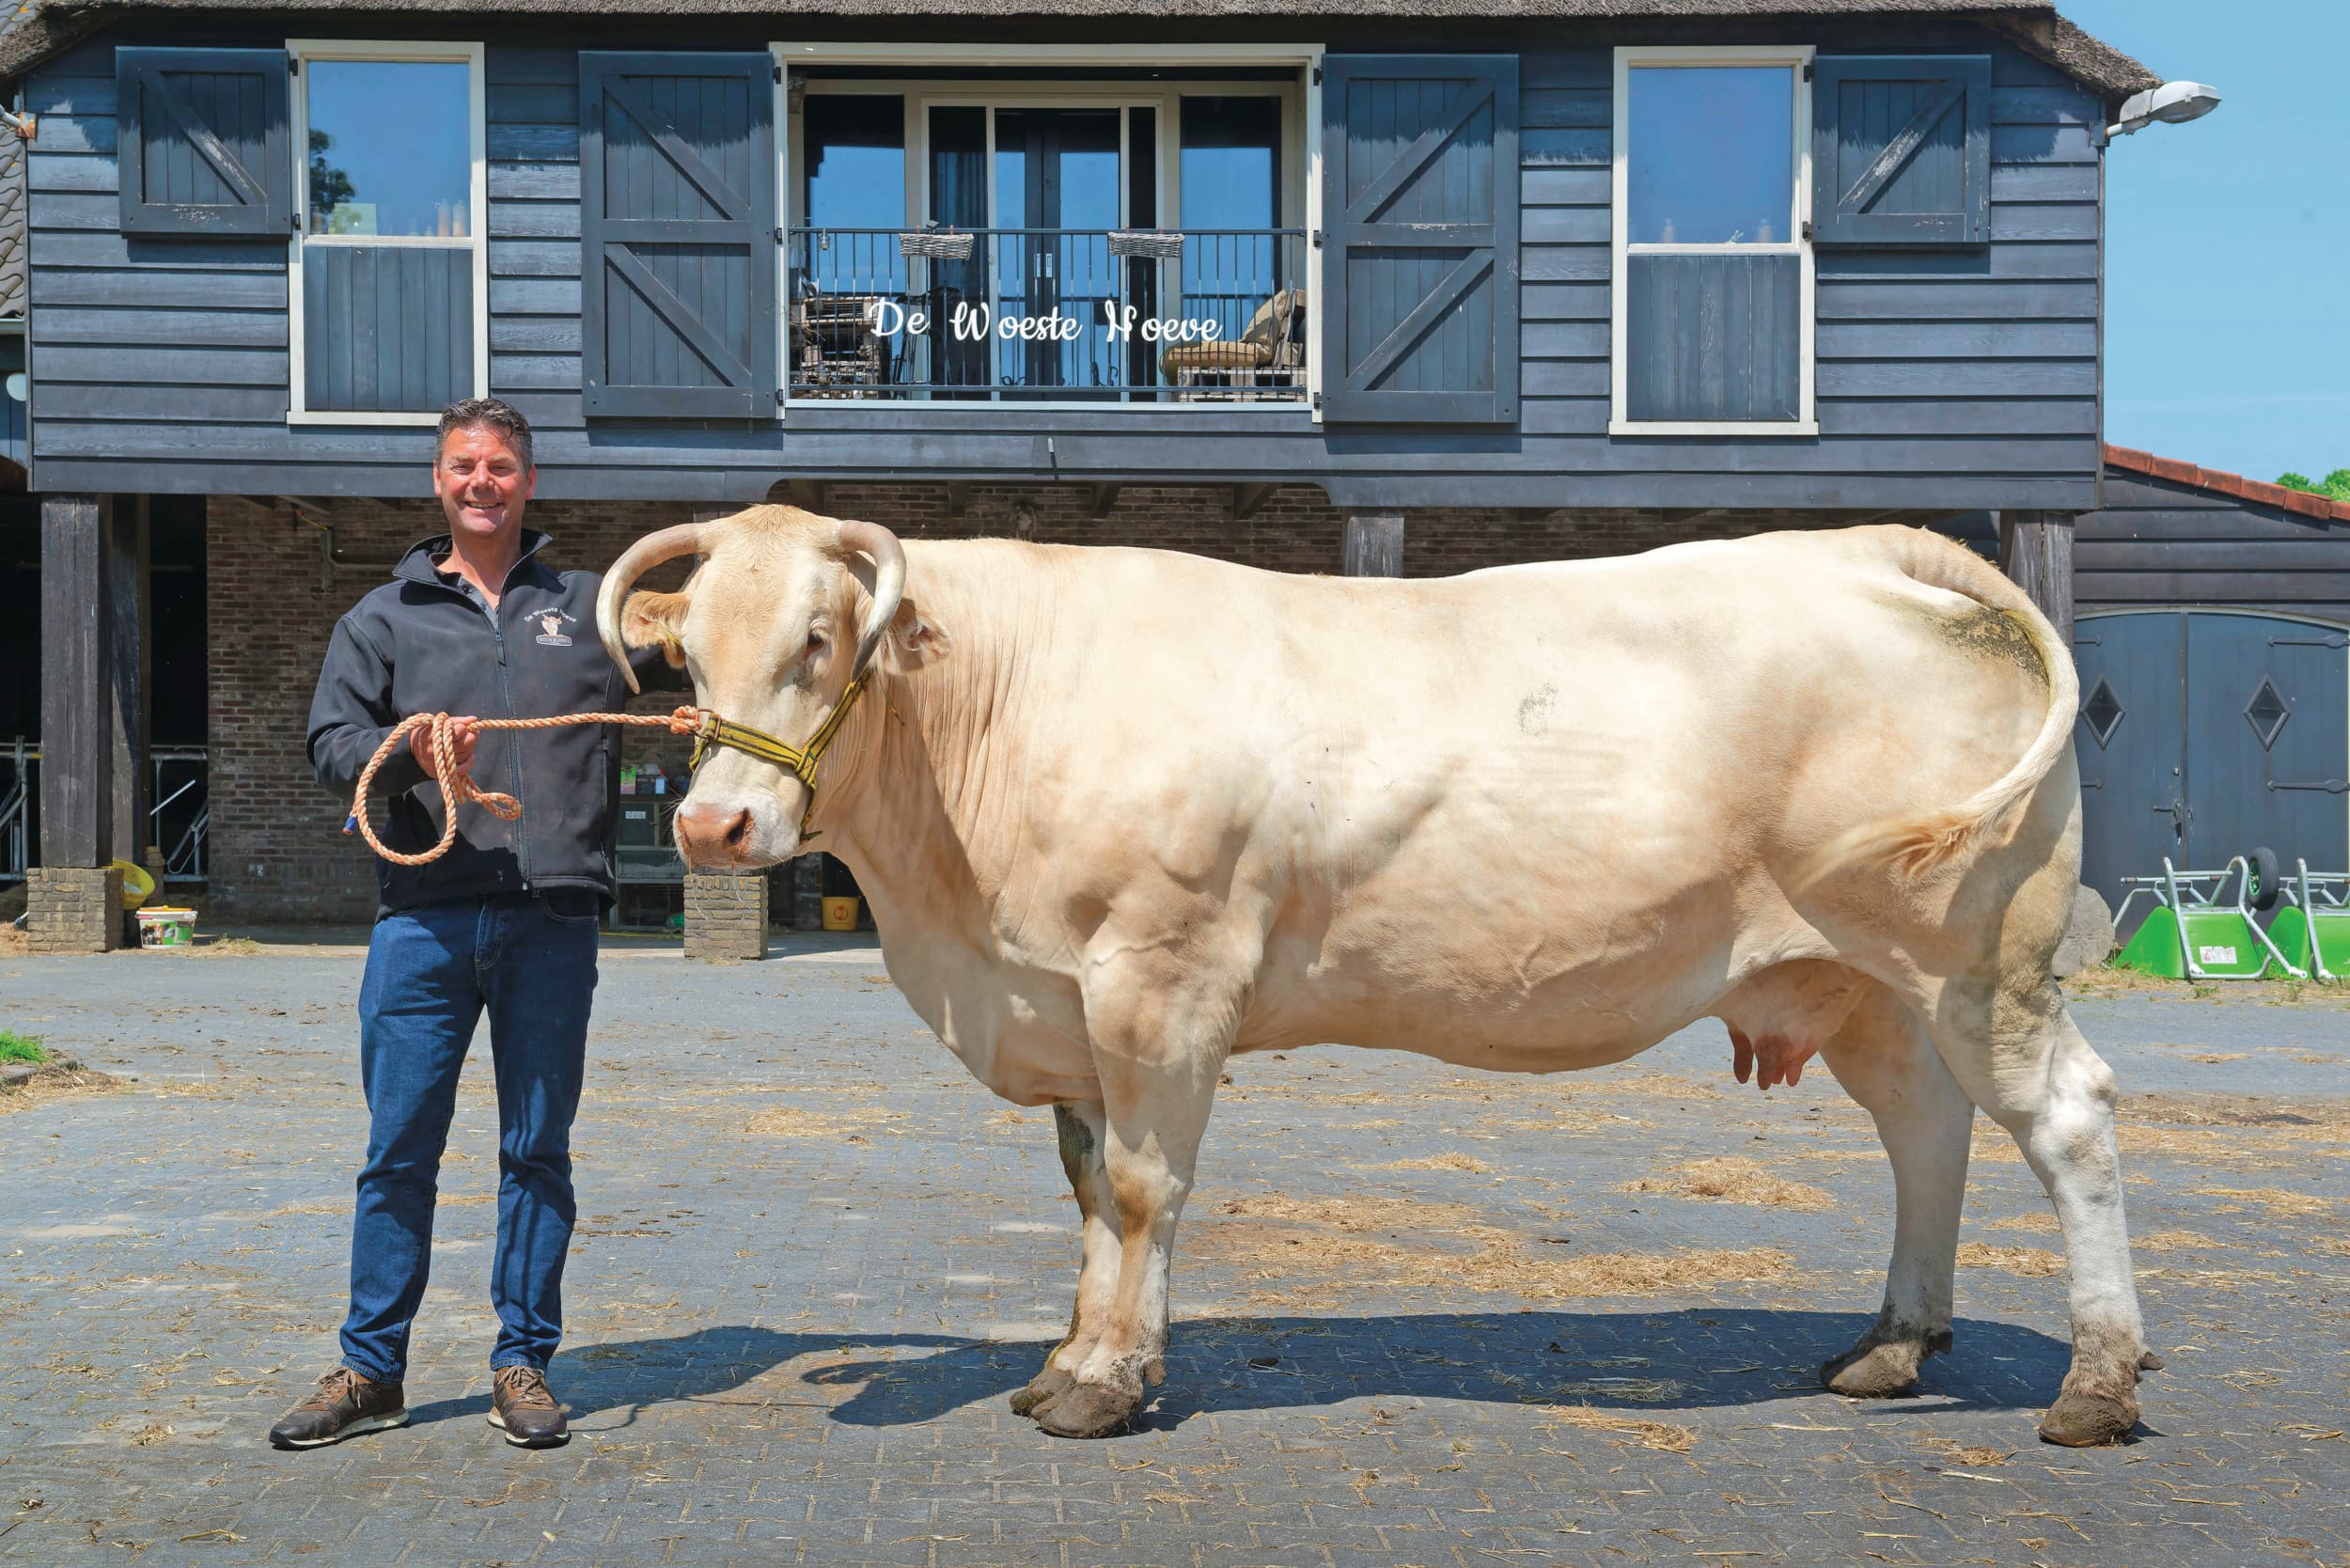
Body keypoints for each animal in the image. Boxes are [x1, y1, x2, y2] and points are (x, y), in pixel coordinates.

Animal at [595, 507, 2158, 1448]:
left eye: (818, 643)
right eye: (689, 657)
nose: (712, 828)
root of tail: (1867, 548)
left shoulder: (1160, 978)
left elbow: (1147, 1192)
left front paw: (1107, 1382)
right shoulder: (1064, 1004)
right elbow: (1094, 1194)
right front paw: (1069, 1362)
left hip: (1983, 954)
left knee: (2068, 1122)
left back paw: (2095, 1381)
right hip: (1862, 977)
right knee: (1929, 1134)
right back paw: (1895, 1345)